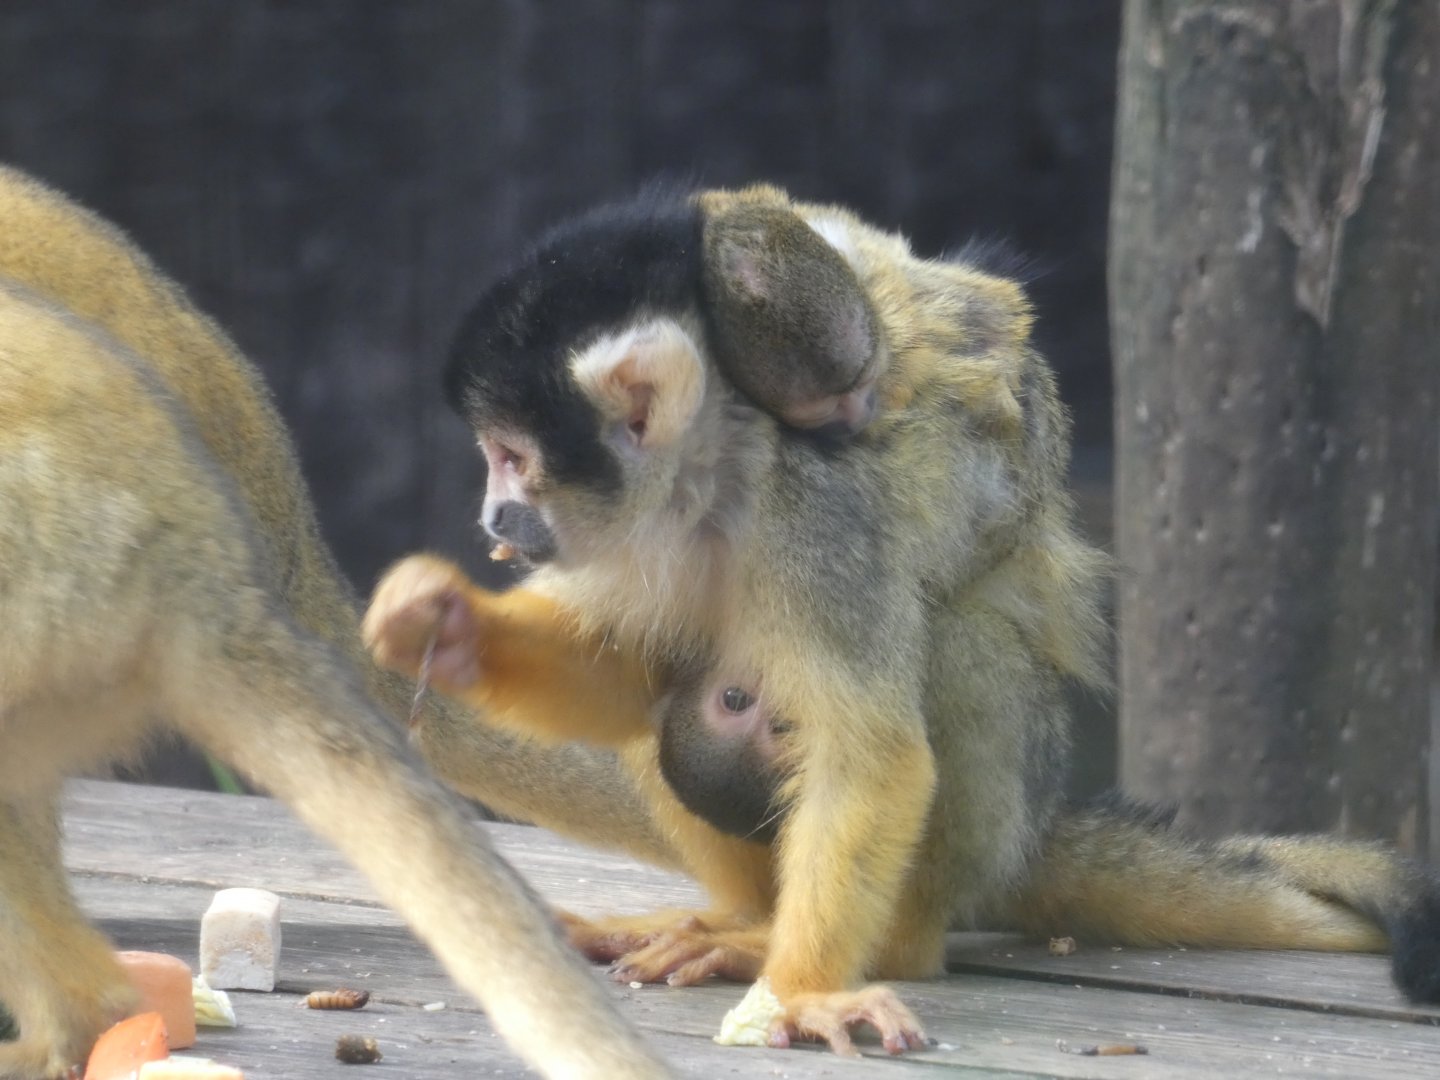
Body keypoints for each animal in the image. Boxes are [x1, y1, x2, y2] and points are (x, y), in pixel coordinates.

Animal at [363, 181, 1440, 1055]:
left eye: (510, 457)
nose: (494, 518)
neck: (711, 478)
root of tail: (1032, 834)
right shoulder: (631, 528)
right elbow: (622, 669)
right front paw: (443, 625)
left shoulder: (814, 511)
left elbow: (870, 750)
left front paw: (800, 994)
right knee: (670, 700)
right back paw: (737, 920)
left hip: (1009, 791)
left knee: (954, 644)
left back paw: (860, 944)